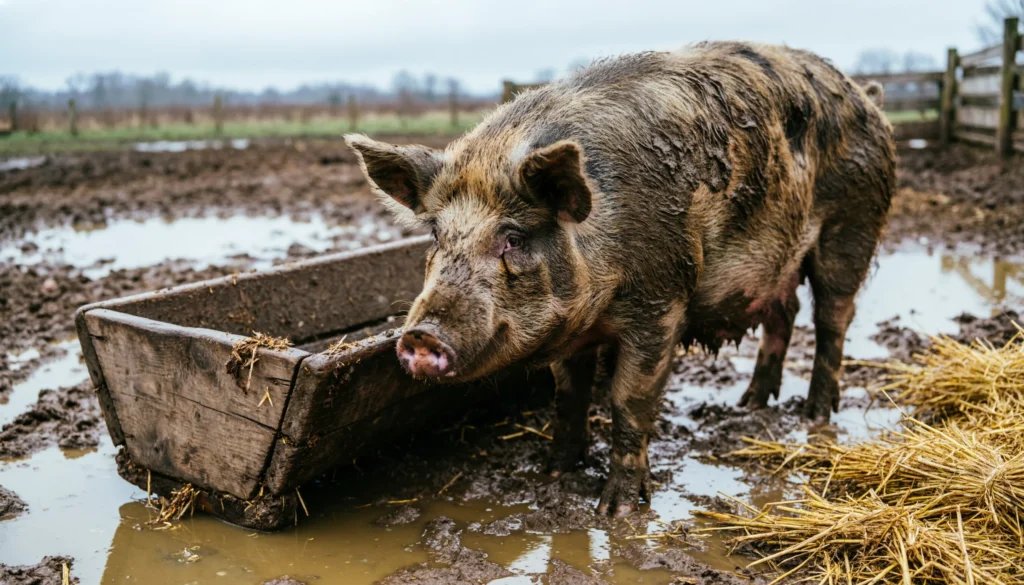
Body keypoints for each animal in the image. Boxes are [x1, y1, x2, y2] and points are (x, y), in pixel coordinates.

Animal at [345, 41, 895, 516]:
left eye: (514, 238)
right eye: (436, 233)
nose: (420, 335)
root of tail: (865, 96)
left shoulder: (661, 301)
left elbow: (628, 400)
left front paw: (616, 511)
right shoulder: (569, 332)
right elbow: (568, 397)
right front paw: (553, 475)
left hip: (853, 226)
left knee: (833, 319)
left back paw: (814, 415)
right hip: (779, 262)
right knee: (784, 313)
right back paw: (750, 402)